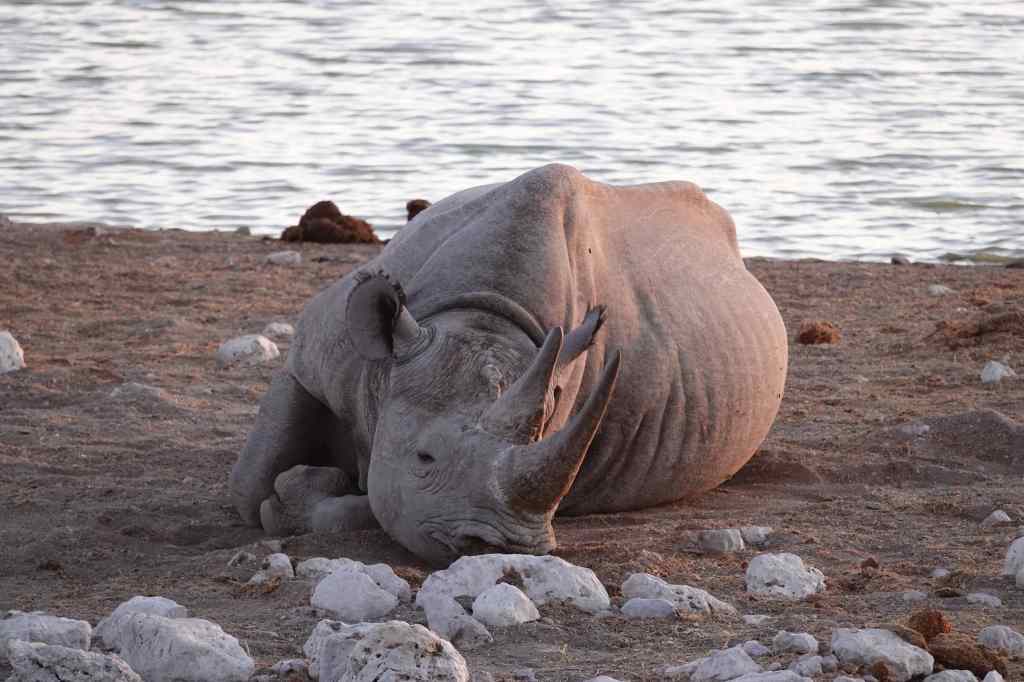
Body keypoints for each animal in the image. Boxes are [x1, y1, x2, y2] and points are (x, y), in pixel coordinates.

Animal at [230, 164, 787, 564]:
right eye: (424, 458)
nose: (504, 547)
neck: (481, 314)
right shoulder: (316, 357)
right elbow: (250, 482)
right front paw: (278, 498)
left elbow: (376, 508)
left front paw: (298, 496)